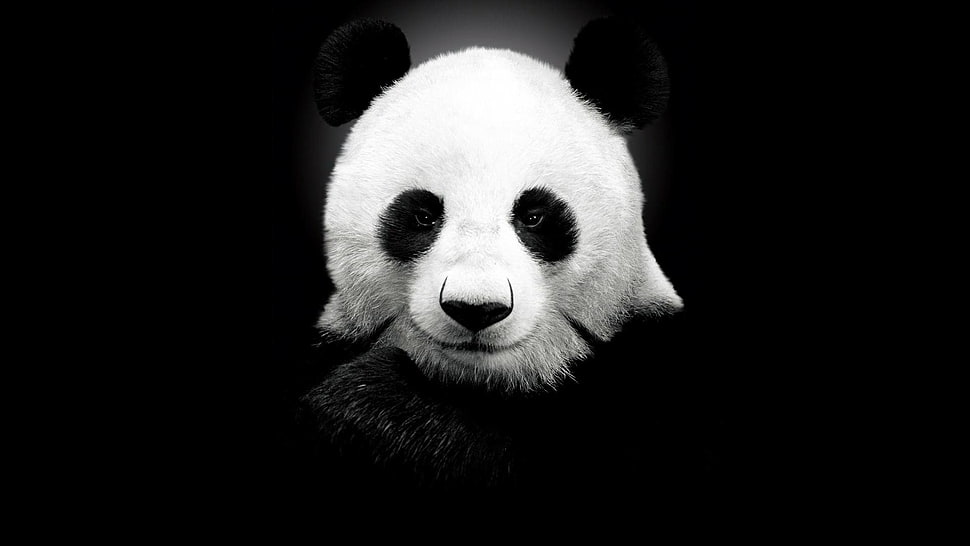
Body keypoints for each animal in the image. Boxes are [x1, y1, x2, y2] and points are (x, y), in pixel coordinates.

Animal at [296, 17, 711, 497]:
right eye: (422, 215)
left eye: (534, 216)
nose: (476, 309)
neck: (487, 383)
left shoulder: (654, 370)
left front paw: (369, 403)